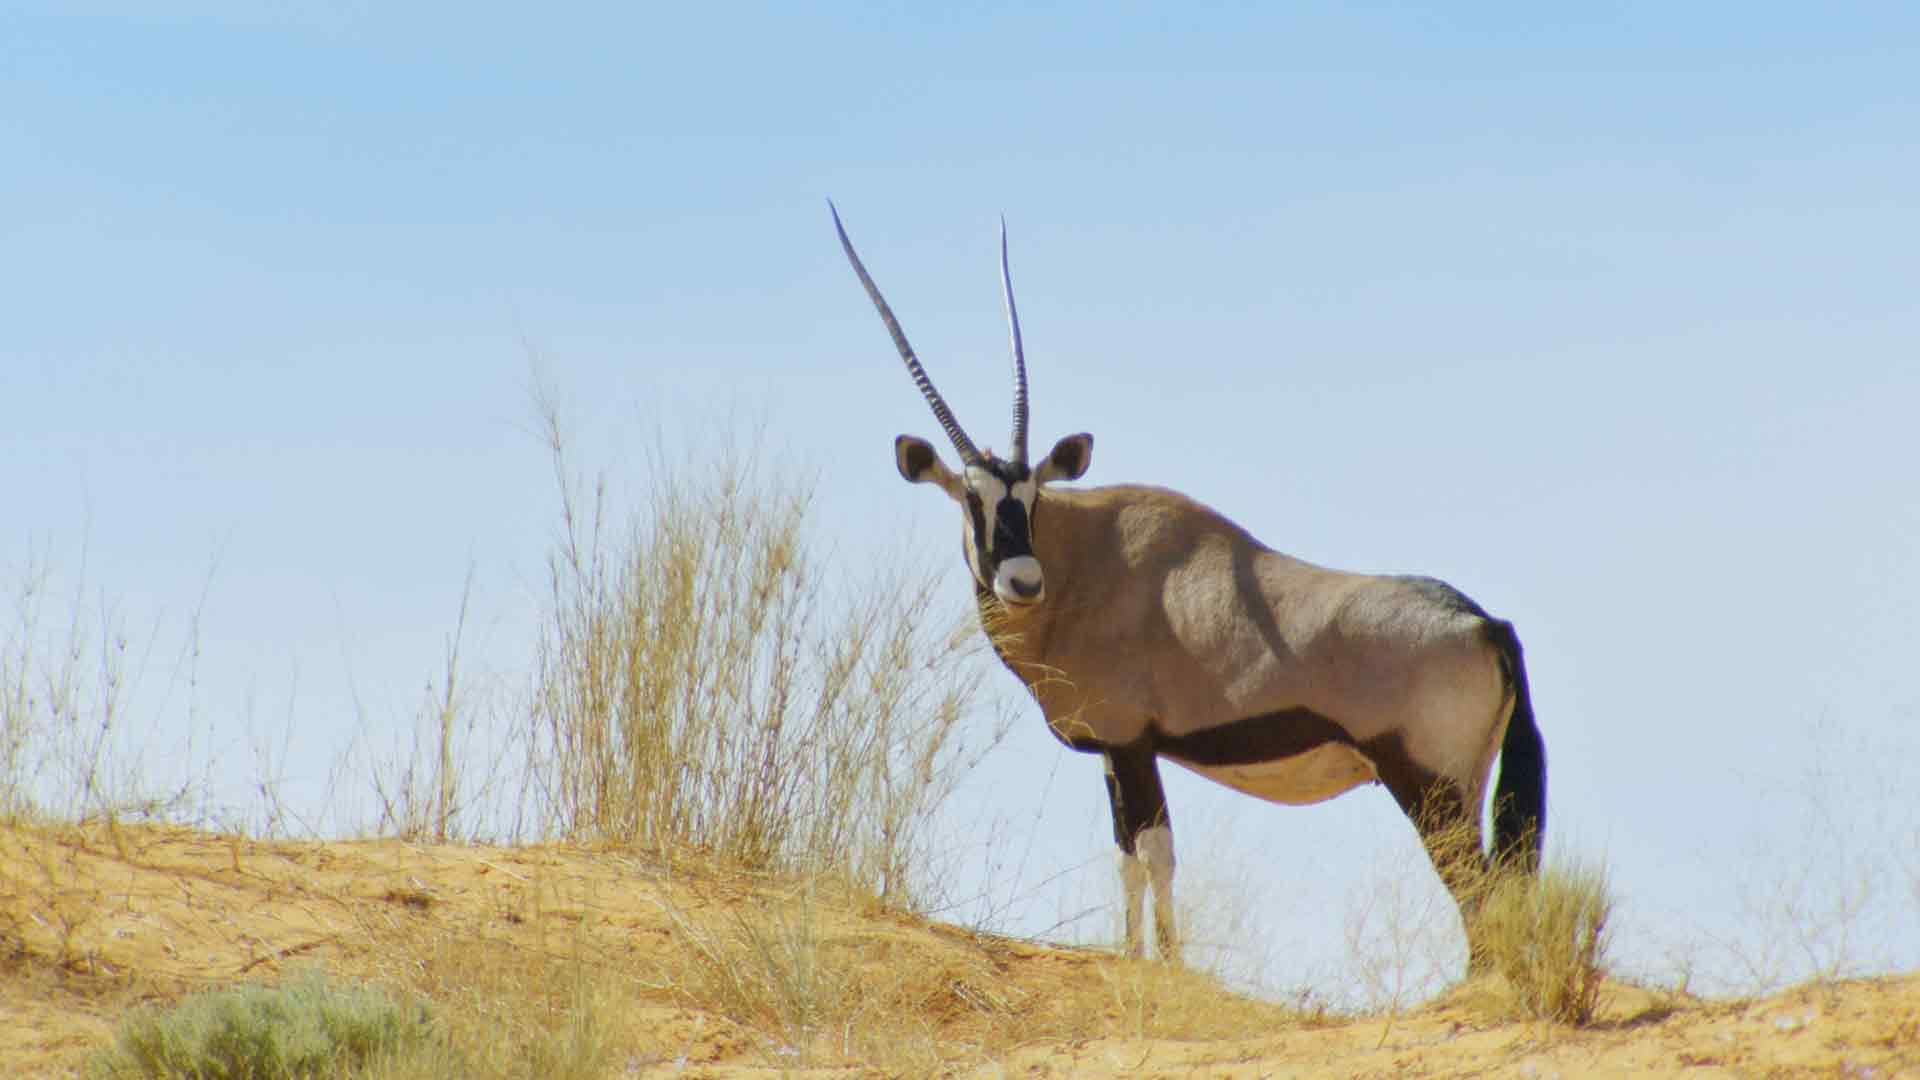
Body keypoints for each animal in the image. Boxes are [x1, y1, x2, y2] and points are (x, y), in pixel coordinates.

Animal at [830, 205, 1545, 962]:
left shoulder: (1130, 743)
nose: (1023, 581)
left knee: (1479, 893)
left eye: (1030, 498)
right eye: (973, 499)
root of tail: (1484, 623)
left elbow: (1155, 853)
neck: (1086, 566)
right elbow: (1127, 856)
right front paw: (1135, 955)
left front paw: (1168, 963)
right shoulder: (1115, 753)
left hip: (1429, 786)